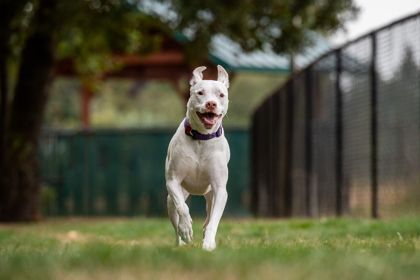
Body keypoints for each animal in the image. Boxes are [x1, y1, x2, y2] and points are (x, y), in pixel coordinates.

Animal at [164, 64, 230, 250]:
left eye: (221, 95)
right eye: (200, 92)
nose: (211, 103)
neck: (201, 138)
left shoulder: (220, 190)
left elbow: (214, 220)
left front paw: (208, 243)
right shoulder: (173, 181)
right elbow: (183, 207)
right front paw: (186, 228)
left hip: (210, 196)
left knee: (209, 215)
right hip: (171, 200)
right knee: (176, 217)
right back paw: (180, 241)